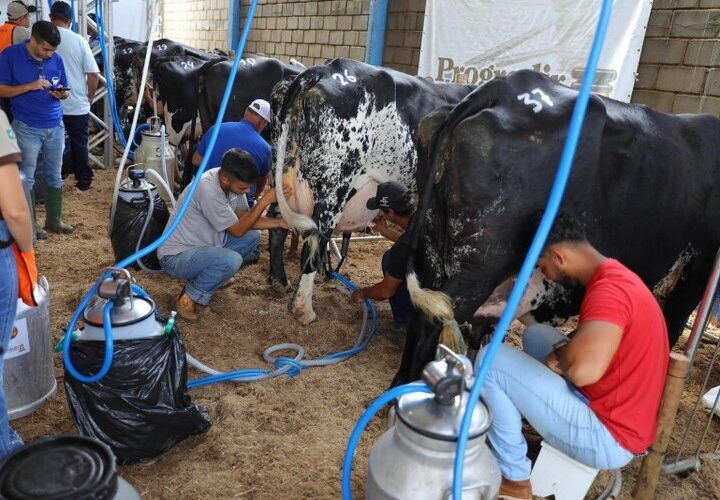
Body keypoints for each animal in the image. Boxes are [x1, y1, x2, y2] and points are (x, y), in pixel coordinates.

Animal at [272, 57, 476, 324]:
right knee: (314, 242)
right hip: (333, 189)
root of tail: (324, 69)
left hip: (283, 172)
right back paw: (304, 310)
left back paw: (279, 281)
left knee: (277, 223)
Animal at [390, 69, 720, 386]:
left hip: (434, 249)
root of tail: (504, 87)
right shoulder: (693, 277)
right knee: (436, 318)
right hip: (481, 265)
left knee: (423, 309)